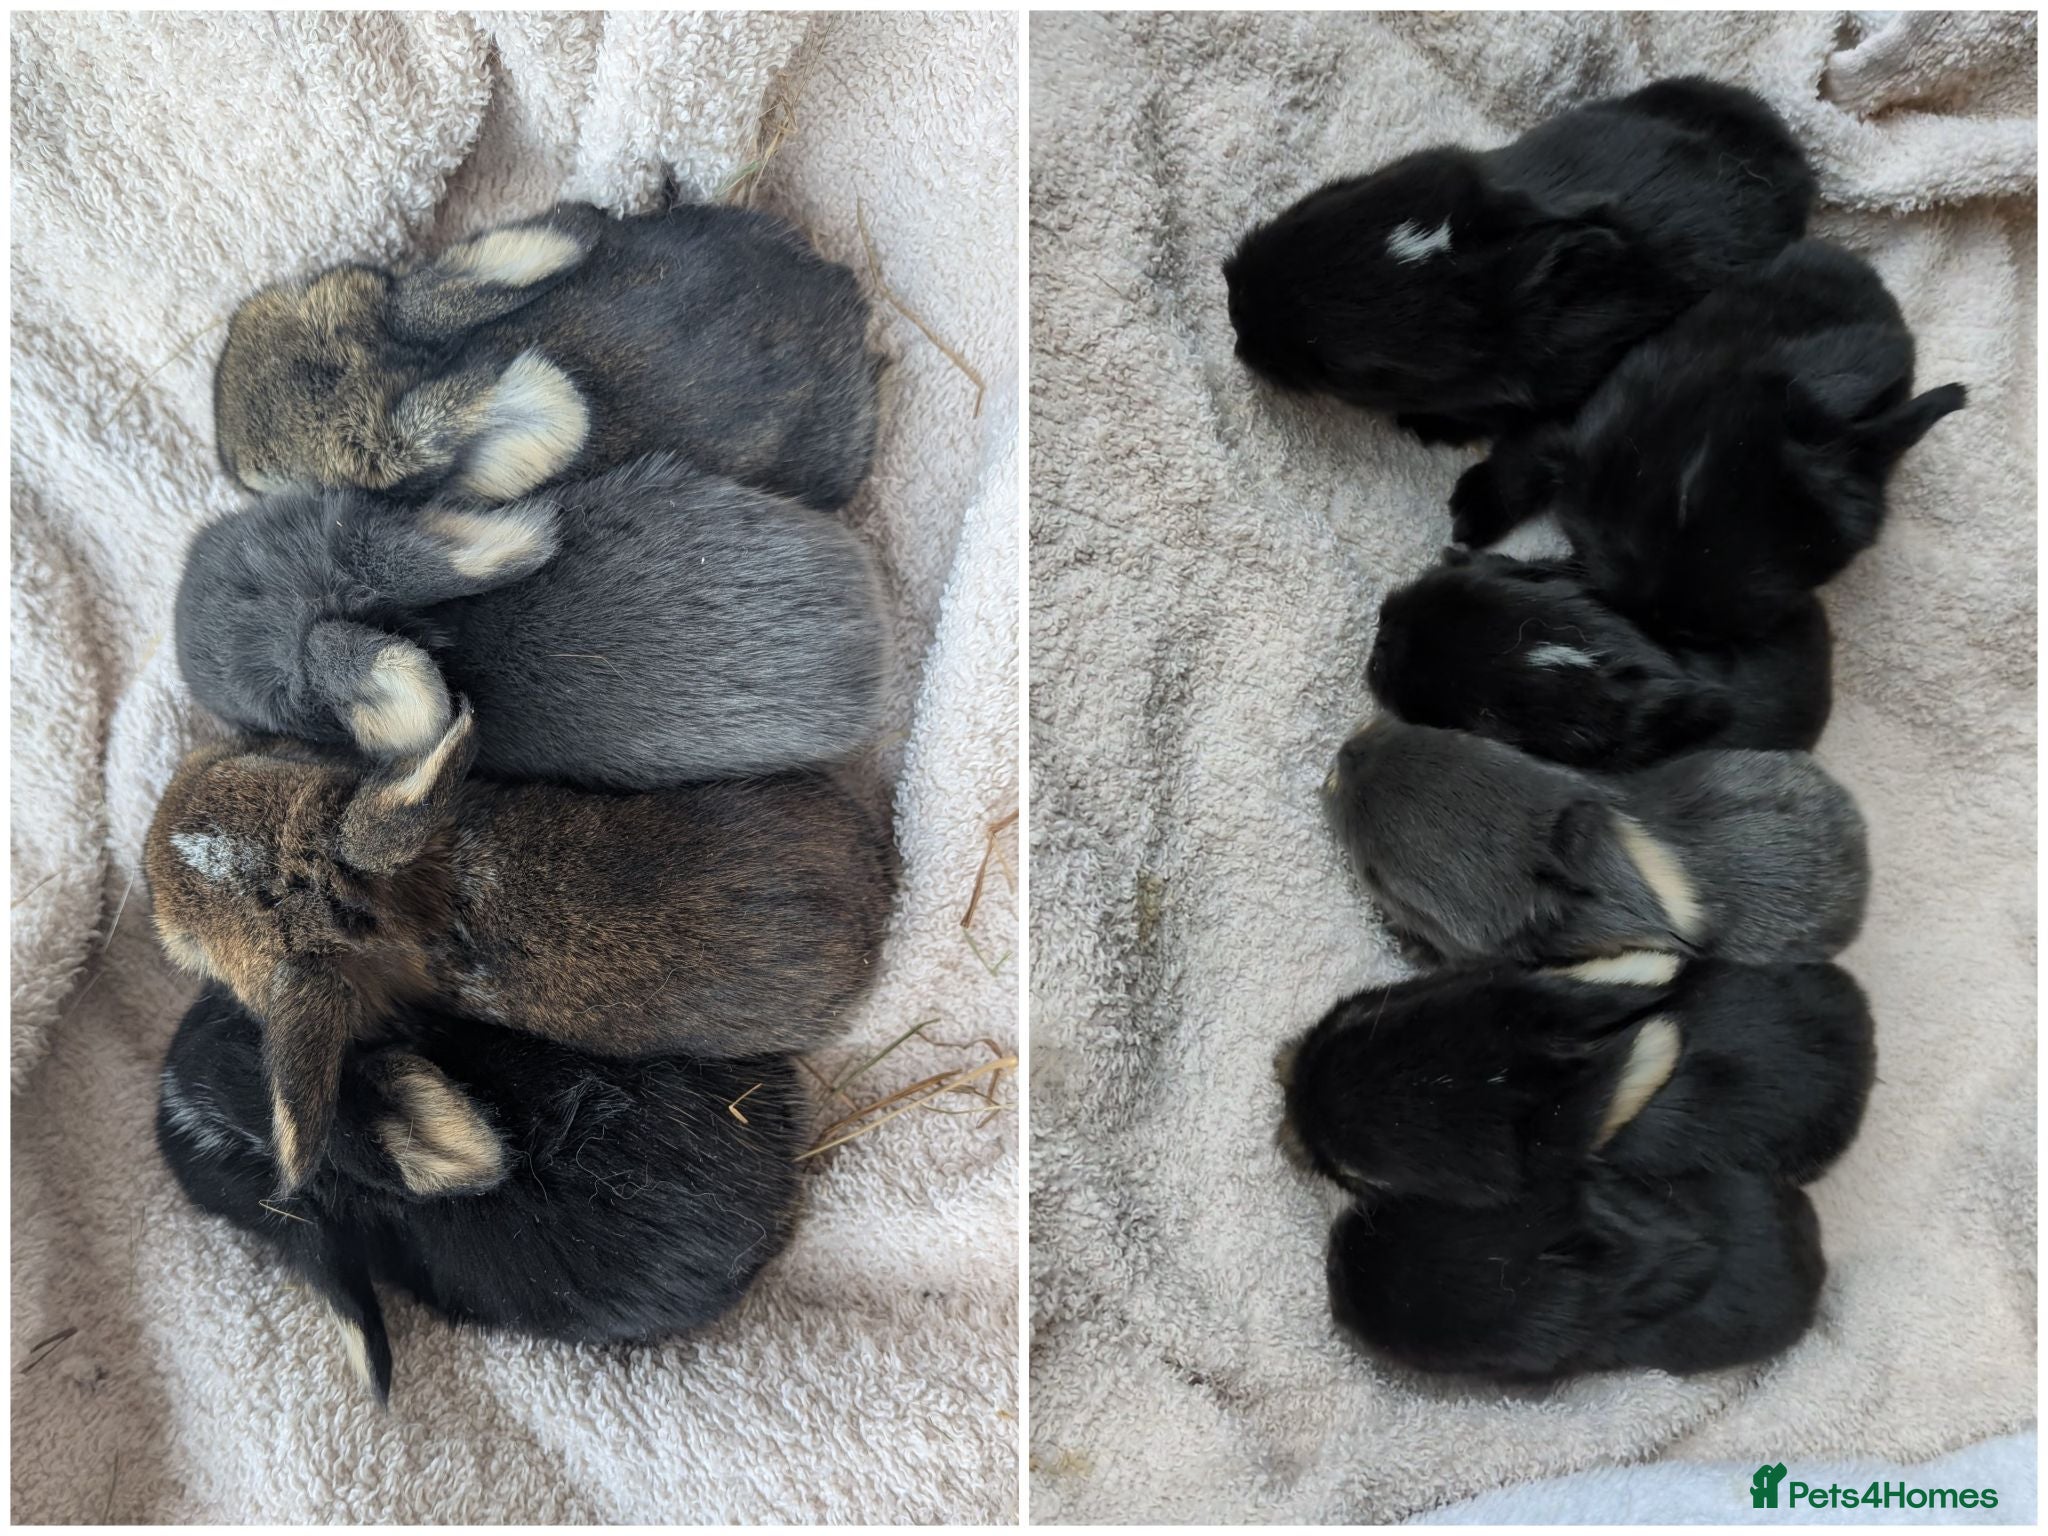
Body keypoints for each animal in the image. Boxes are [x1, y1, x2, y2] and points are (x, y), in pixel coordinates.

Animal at [1450, 239, 1968, 641]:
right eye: (1685, 497)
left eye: (1788, 590)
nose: (1657, 615)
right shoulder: (1580, 425)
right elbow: (1527, 457)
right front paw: (1471, 516)